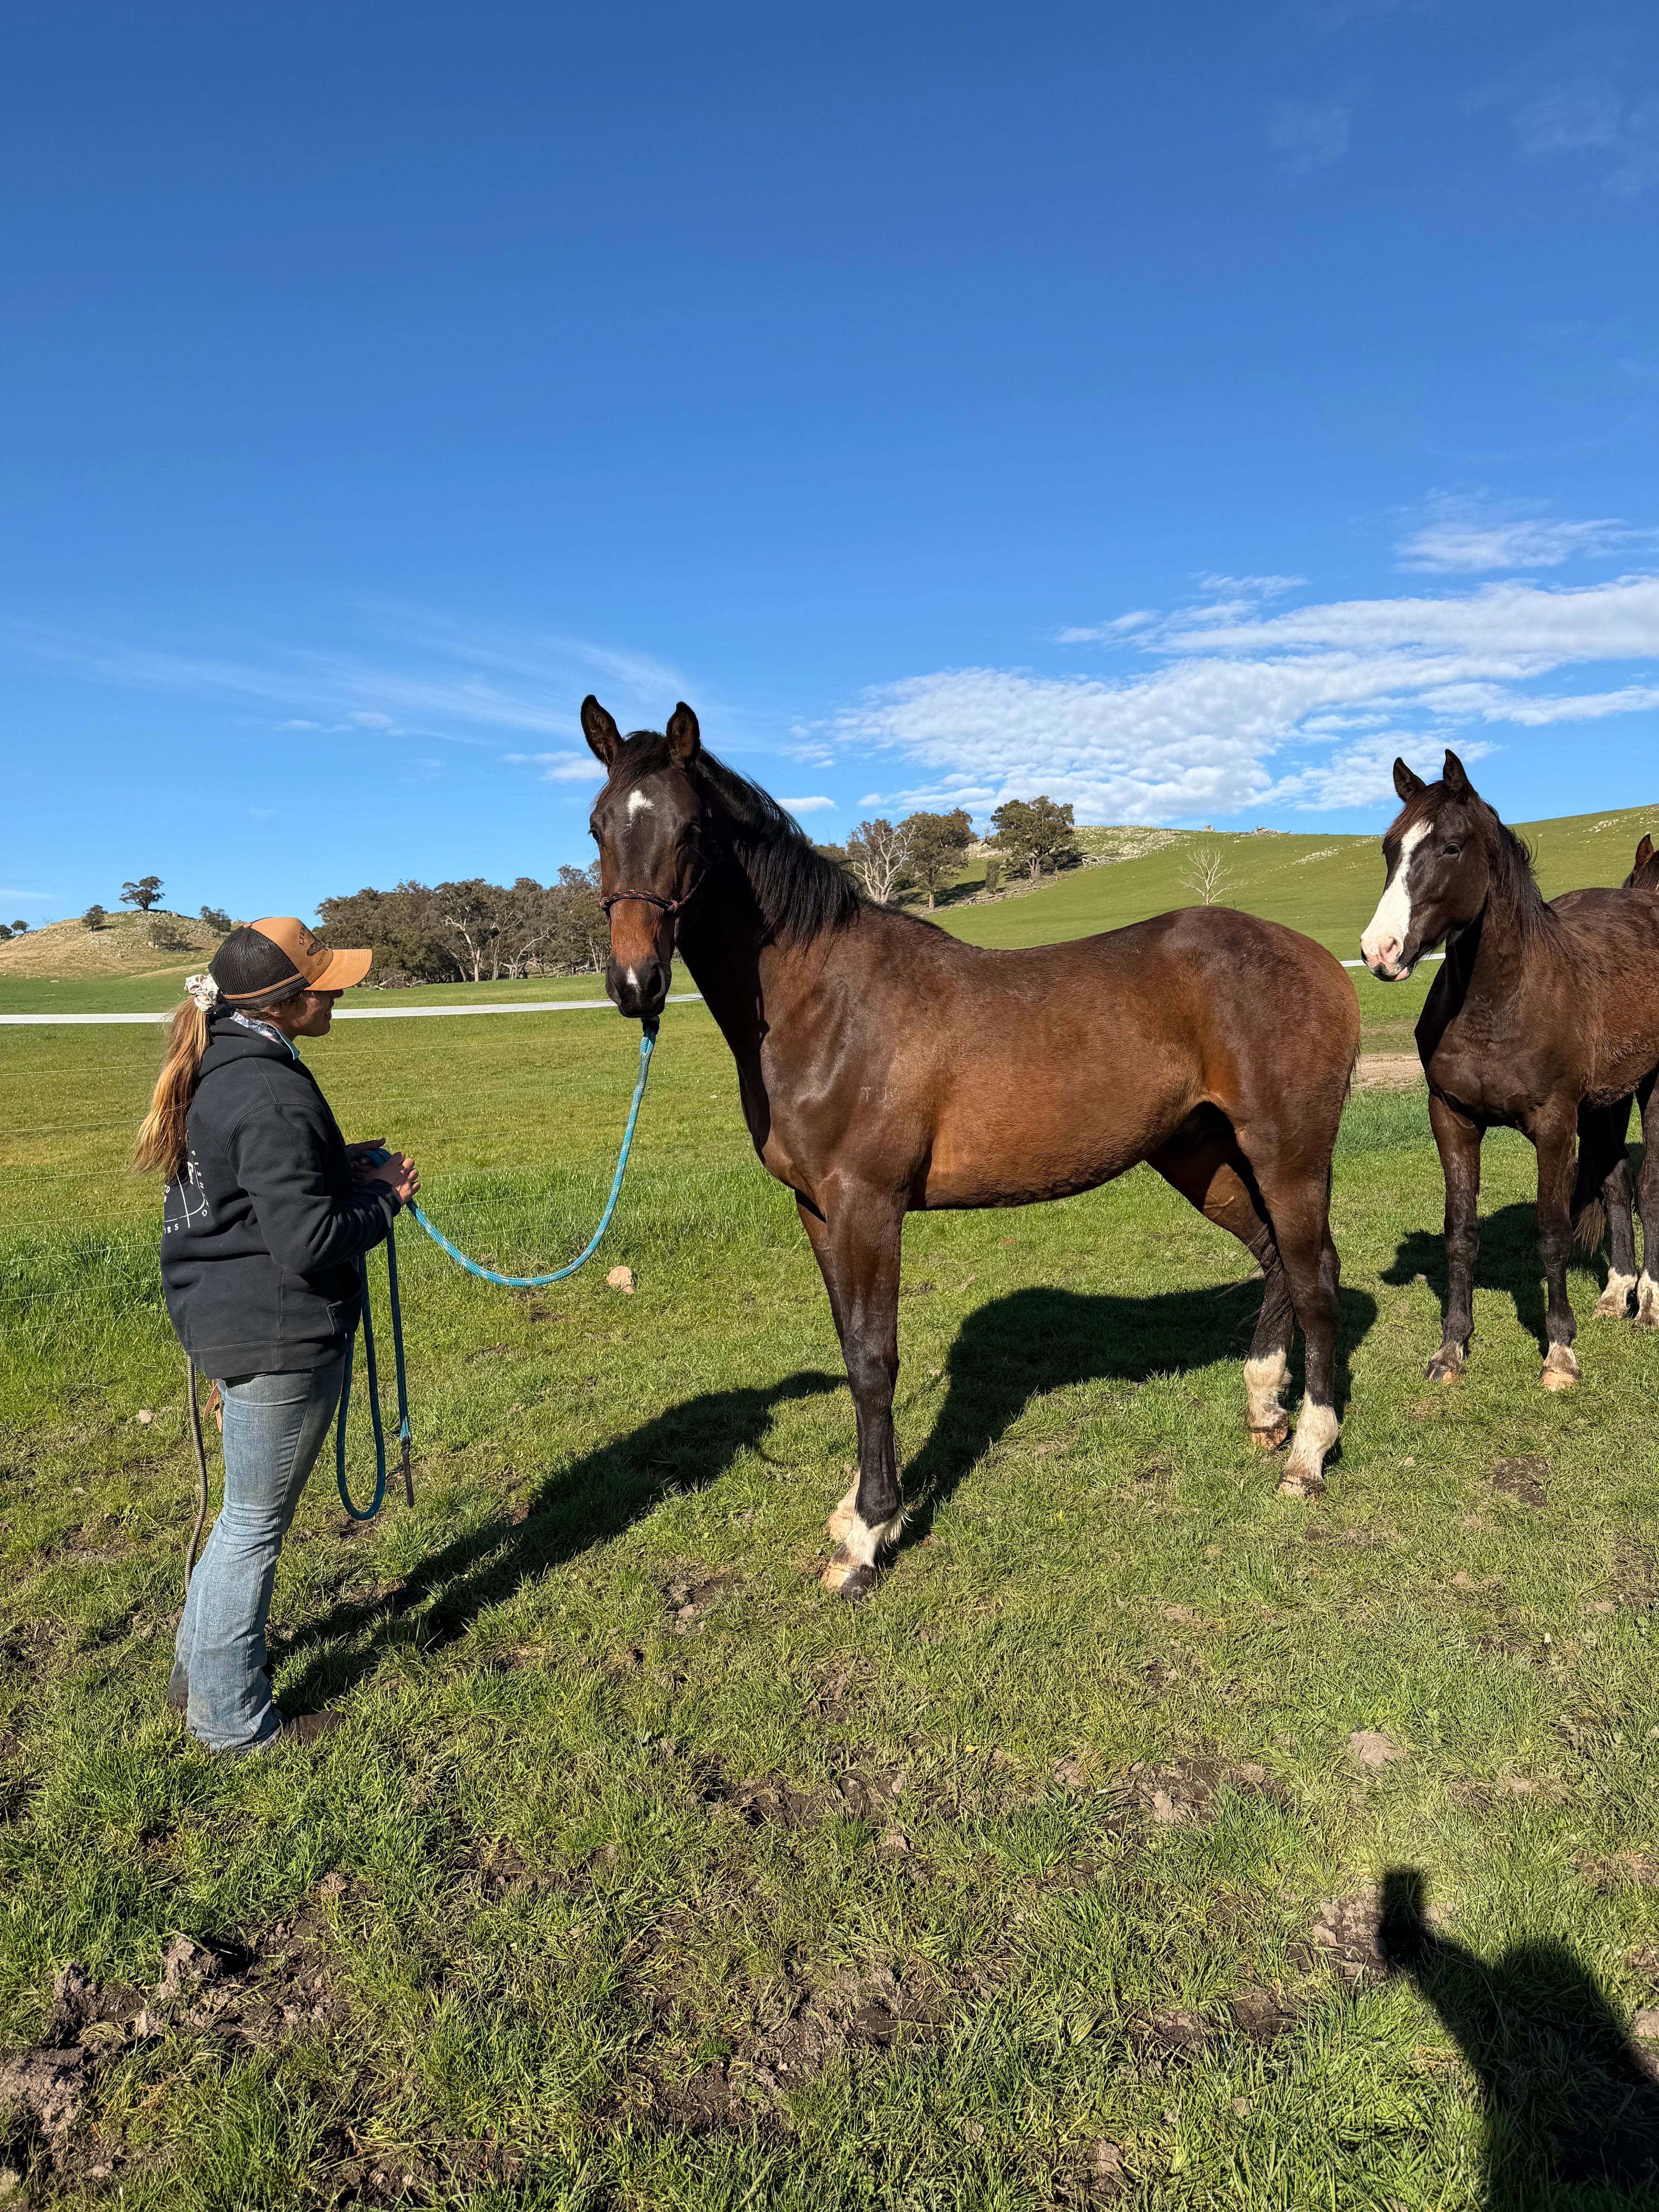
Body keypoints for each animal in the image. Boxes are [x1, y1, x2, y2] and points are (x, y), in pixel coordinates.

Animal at [580, 696, 1362, 1595]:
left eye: (690, 829)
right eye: (597, 825)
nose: (635, 984)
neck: (825, 1003)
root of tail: (1316, 960)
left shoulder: (868, 1206)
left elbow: (874, 1359)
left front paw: (868, 1535)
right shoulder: (817, 1209)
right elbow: (850, 1347)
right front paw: (856, 1508)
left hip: (1288, 1155)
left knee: (1315, 1277)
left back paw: (1308, 1453)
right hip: (1200, 1157)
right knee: (1273, 1258)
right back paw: (1266, 1408)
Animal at [1360, 755, 1659, 1387]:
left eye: (1451, 848)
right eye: (1390, 849)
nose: (1379, 950)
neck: (1499, 1002)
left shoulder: (1554, 1126)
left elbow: (1552, 1234)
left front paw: (1560, 1350)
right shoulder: (1452, 1119)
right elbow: (1460, 1234)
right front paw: (1451, 1347)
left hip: (1652, 1087)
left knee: (1648, 1185)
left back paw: (1647, 1301)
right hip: (1607, 1100)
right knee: (1617, 1181)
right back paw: (1615, 1293)